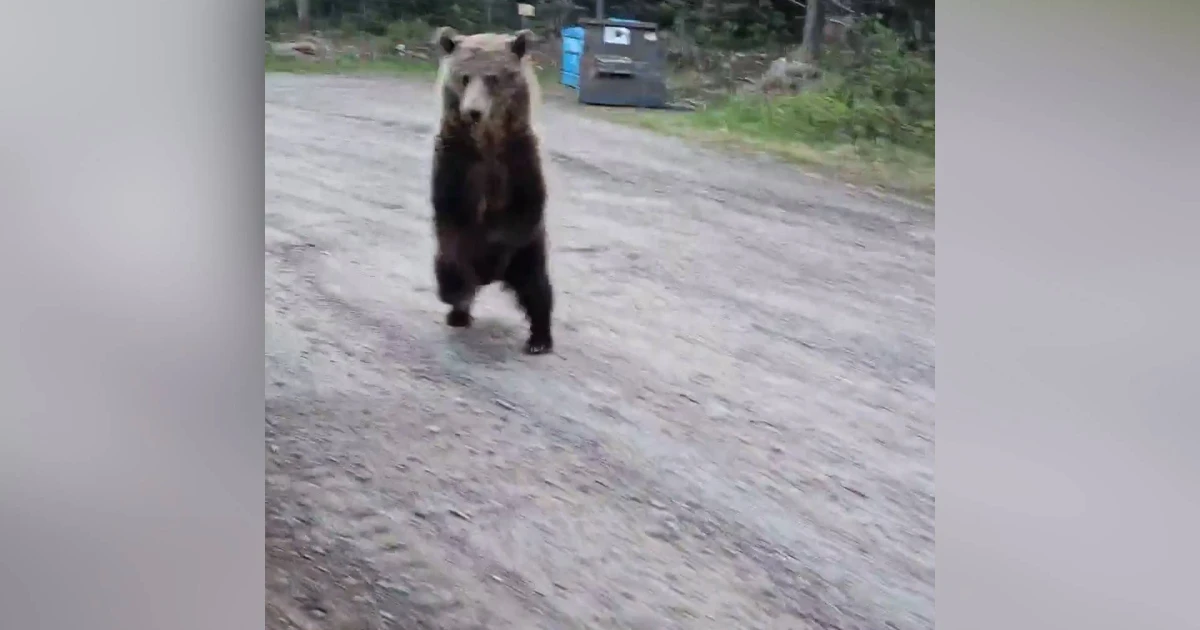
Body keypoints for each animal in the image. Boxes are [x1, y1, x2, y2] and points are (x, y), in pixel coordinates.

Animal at [429, 26, 555, 355]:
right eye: (464, 77)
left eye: (493, 78)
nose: (472, 111)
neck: (487, 143)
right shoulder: (457, 162)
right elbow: (451, 216)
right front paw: (455, 291)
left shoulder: (518, 161)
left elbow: (524, 209)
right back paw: (457, 311)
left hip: (529, 253)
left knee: (536, 287)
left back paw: (539, 338)